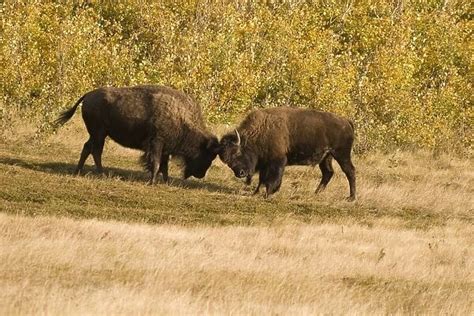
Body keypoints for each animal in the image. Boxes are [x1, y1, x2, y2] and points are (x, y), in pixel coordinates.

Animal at [56, 84, 219, 183]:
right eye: (207, 155)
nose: (201, 174)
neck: (181, 117)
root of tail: (88, 95)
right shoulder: (156, 144)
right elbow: (156, 163)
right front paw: (152, 181)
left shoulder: (164, 149)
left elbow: (164, 165)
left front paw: (166, 181)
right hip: (99, 134)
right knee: (94, 150)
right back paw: (99, 173)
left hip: (98, 135)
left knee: (90, 148)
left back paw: (82, 171)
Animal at [218, 106, 356, 200]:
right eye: (227, 162)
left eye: (237, 153)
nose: (240, 173)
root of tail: (346, 121)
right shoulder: (265, 163)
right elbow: (262, 179)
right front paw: (257, 192)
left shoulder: (277, 161)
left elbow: (273, 178)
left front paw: (269, 193)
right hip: (326, 157)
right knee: (328, 172)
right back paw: (317, 192)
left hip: (341, 154)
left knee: (349, 171)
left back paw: (351, 198)